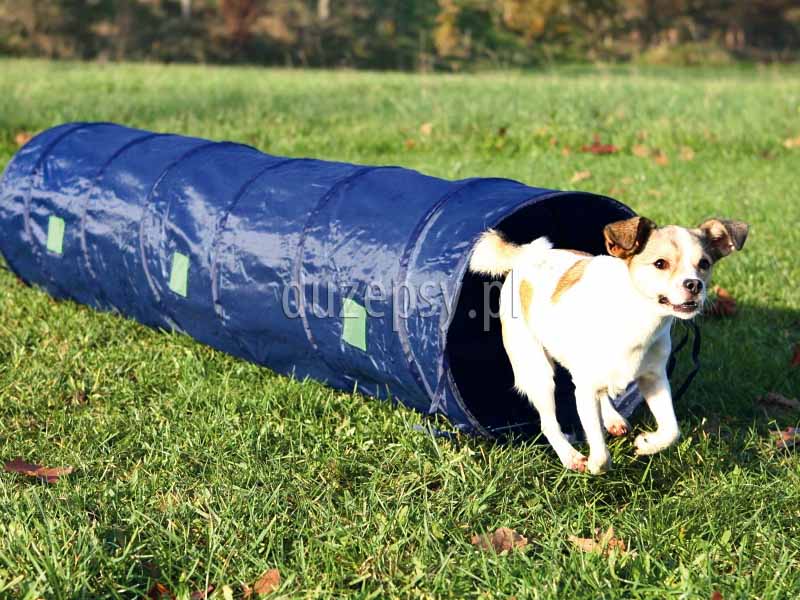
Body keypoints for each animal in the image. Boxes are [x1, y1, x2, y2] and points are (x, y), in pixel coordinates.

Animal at [472, 216, 748, 474]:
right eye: (660, 264)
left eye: (704, 264)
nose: (694, 284)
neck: (640, 320)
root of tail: (527, 255)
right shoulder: (583, 390)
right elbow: (601, 451)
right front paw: (595, 464)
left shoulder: (654, 379)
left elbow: (672, 430)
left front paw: (646, 444)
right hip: (538, 373)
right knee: (548, 424)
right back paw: (570, 456)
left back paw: (613, 418)